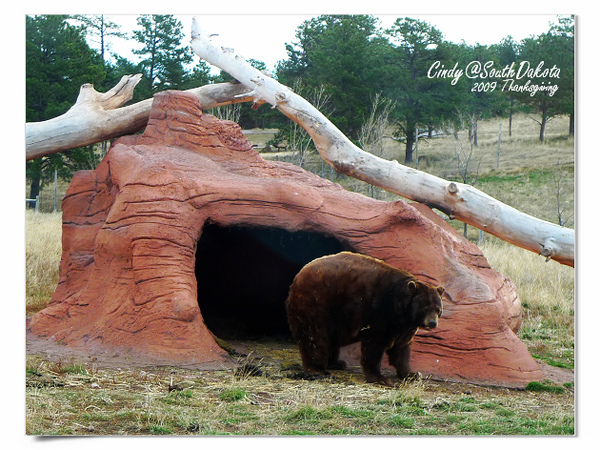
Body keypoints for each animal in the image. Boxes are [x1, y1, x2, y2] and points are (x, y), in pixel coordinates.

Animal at [284, 251, 442, 384]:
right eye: (426, 308)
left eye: (438, 309)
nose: (433, 322)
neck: (400, 310)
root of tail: (298, 277)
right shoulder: (379, 313)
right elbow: (374, 345)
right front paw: (380, 378)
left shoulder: (403, 326)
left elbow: (401, 348)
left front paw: (412, 374)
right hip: (318, 302)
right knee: (315, 335)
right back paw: (319, 369)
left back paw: (337, 363)